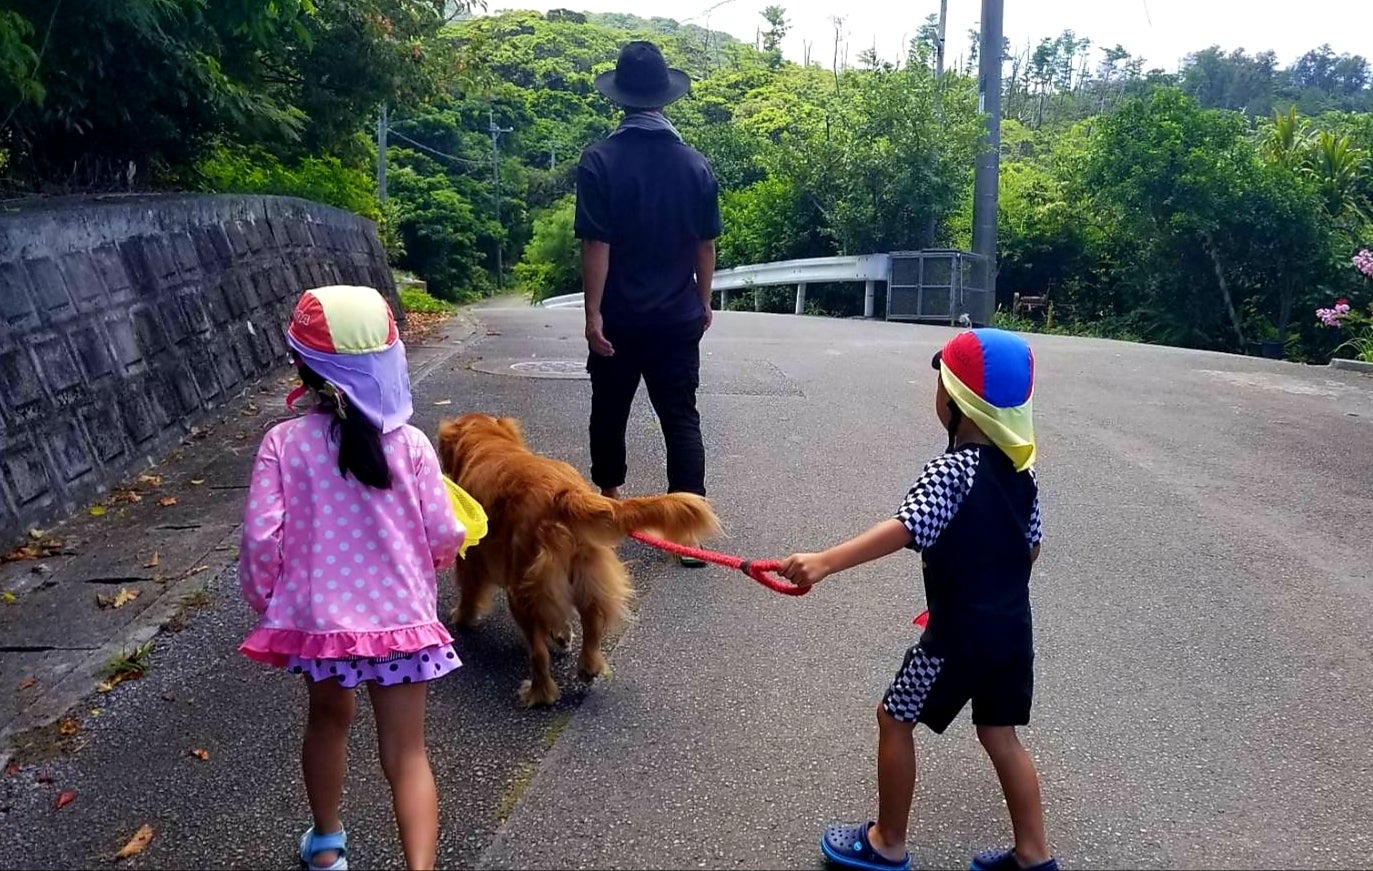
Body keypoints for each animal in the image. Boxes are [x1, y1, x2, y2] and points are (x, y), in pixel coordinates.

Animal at [437, 413, 722, 707]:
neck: (487, 442)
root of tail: (564, 493)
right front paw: (562, 636)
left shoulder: (470, 557)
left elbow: (469, 591)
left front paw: (462, 617)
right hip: (587, 572)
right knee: (592, 624)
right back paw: (588, 666)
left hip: (522, 588)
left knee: (538, 652)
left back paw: (539, 692)